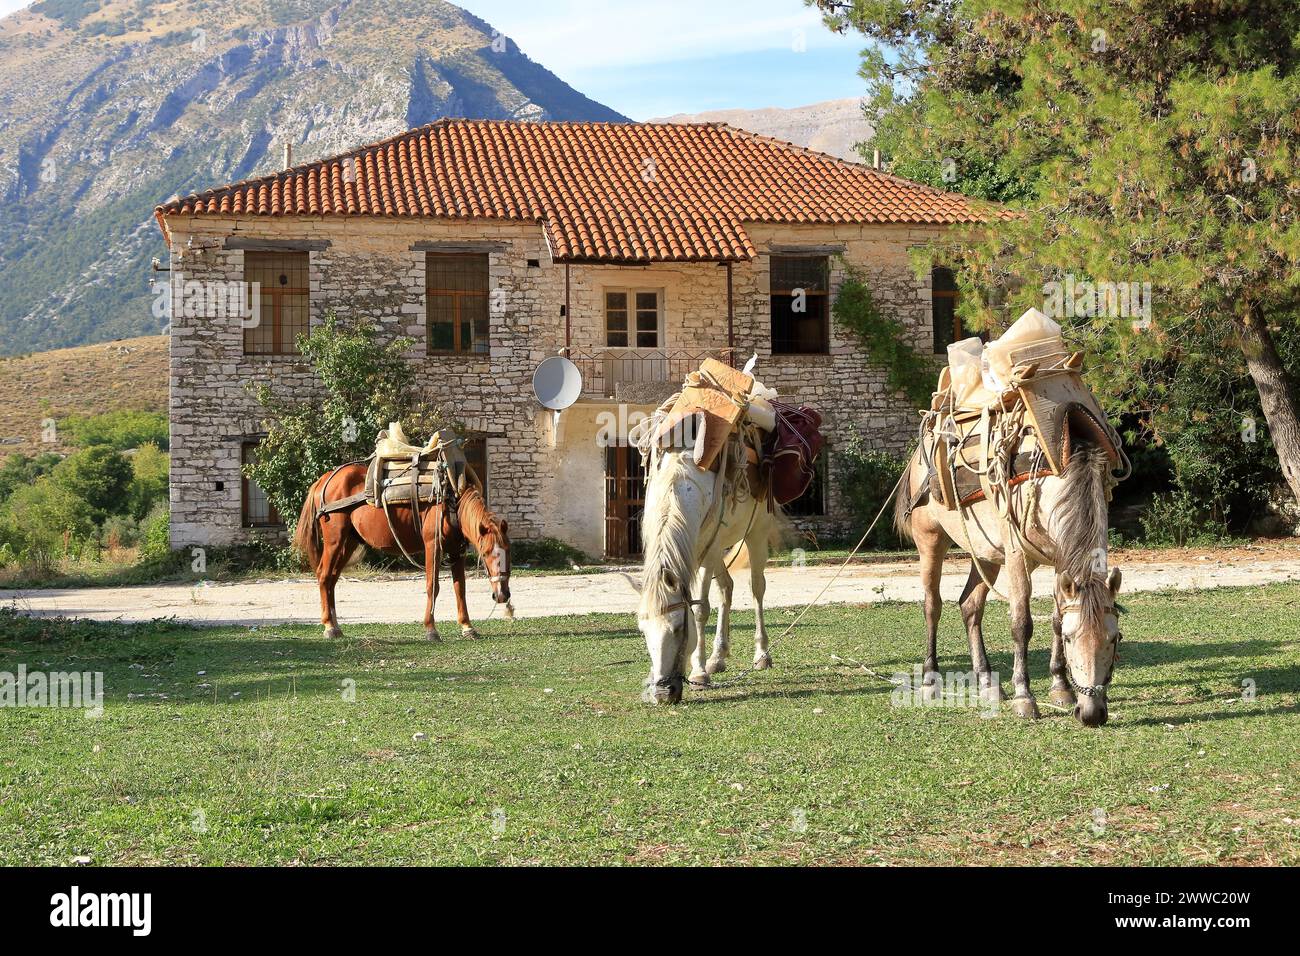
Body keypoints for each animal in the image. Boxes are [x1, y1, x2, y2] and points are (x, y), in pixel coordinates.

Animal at [295, 465, 512, 642]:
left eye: (508, 550)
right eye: (485, 553)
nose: (502, 595)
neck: (451, 502)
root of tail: (325, 479)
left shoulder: (456, 551)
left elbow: (460, 589)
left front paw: (467, 627)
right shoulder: (433, 547)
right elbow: (432, 586)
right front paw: (431, 629)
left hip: (348, 542)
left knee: (332, 579)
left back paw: (335, 625)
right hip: (335, 540)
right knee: (324, 576)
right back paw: (329, 626)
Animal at [634, 439, 774, 702]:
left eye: (678, 628)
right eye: (642, 630)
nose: (662, 693)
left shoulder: (707, 555)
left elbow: (700, 610)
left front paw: (698, 673)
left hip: (756, 532)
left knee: (757, 588)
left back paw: (762, 655)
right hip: (718, 549)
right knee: (727, 587)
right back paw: (718, 657)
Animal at [899, 442, 1123, 723]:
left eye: (1114, 639)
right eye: (1070, 639)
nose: (1091, 713)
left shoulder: (1060, 560)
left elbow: (1056, 619)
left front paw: (1060, 686)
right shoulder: (1017, 555)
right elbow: (1021, 625)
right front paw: (1024, 696)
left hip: (985, 553)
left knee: (970, 606)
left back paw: (988, 683)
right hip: (930, 541)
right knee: (932, 606)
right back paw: (931, 679)